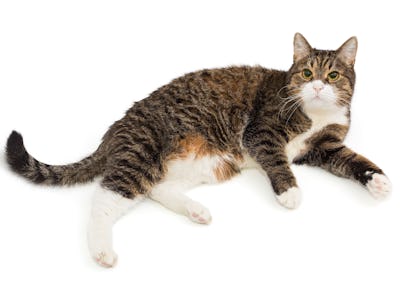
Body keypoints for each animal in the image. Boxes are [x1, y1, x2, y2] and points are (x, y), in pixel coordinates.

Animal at [5, 32, 390, 268]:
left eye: (334, 76)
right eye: (307, 72)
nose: (318, 87)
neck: (315, 113)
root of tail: (115, 130)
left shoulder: (325, 147)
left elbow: (353, 160)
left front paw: (378, 180)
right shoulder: (261, 132)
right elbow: (278, 161)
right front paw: (290, 192)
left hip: (209, 162)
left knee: (157, 189)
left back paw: (196, 210)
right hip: (143, 154)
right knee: (104, 199)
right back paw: (102, 250)